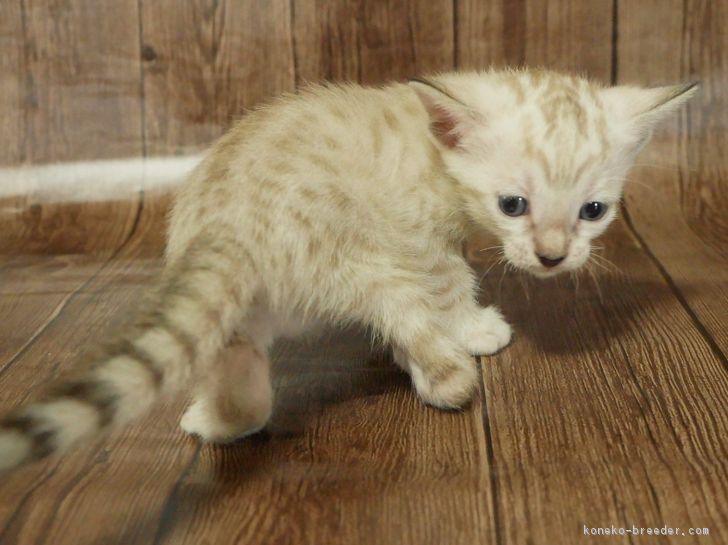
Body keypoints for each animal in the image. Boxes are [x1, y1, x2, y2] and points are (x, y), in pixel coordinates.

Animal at [0, 68, 696, 468]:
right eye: (513, 205)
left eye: (593, 211)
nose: (553, 256)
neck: (433, 151)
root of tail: (226, 225)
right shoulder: (420, 243)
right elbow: (451, 284)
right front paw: (476, 328)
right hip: (366, 265)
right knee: (427, 348)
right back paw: (444, 371)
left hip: (250, 303)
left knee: (243, 366)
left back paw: (217, 420)